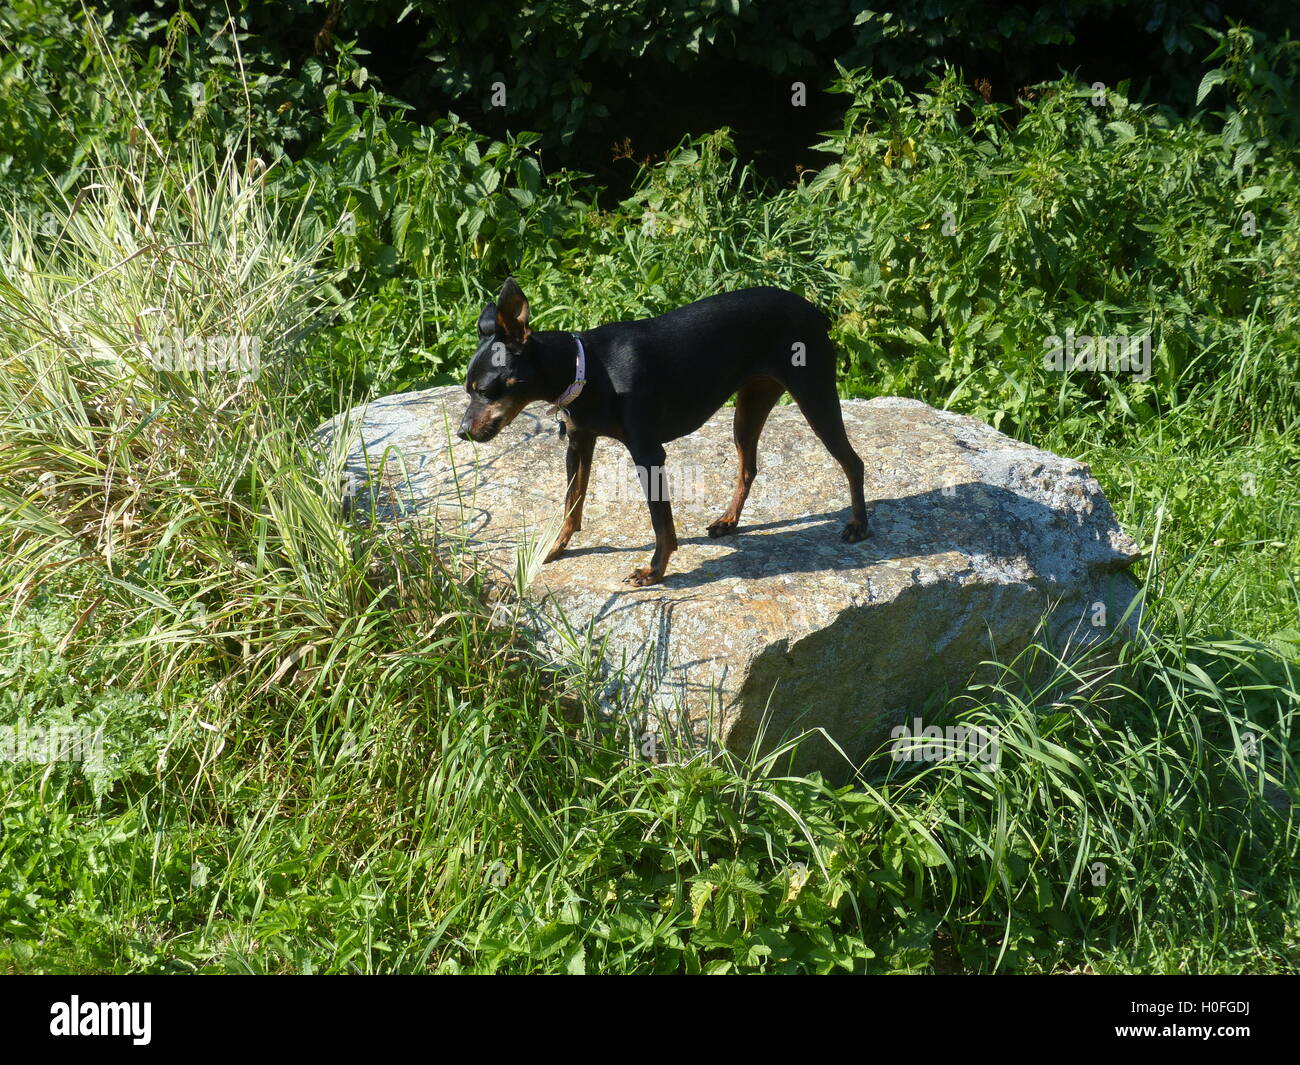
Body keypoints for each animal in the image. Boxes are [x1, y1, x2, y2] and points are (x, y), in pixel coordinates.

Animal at [462, 279, 868, 587]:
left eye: (485, 390)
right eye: (467, 390)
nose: (463, 432)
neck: (586, 368)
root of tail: (813, 309)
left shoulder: (648, 454)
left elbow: (662, 525)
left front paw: (654, 571)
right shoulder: (578, 444)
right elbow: (571, 504)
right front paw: (555, 548)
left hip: (815, 397)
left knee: (853, 463)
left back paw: (859, 526)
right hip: (749, 408)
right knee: (748, 468)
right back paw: (728, 521)